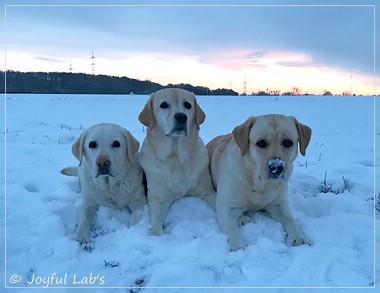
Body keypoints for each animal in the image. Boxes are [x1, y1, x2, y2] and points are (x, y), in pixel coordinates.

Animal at [208, 113, 312, 249]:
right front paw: (238, 245)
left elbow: (290, 218)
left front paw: (298, 236)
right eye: (261, 143)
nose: (276, 166)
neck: (259, 184)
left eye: (288, 142)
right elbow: (231, 226)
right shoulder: (226, 206)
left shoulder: (278, 203)